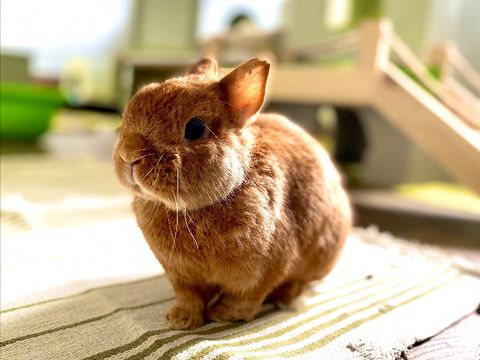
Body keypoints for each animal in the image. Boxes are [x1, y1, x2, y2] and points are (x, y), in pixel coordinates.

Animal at [113, 57, 352, 330]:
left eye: (195, 128)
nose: (129, 155)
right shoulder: (180, 275)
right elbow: (189, 296)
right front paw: (180, 320)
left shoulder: (264, 271)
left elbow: (247, 297)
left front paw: (223, 314)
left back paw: (288, 299)